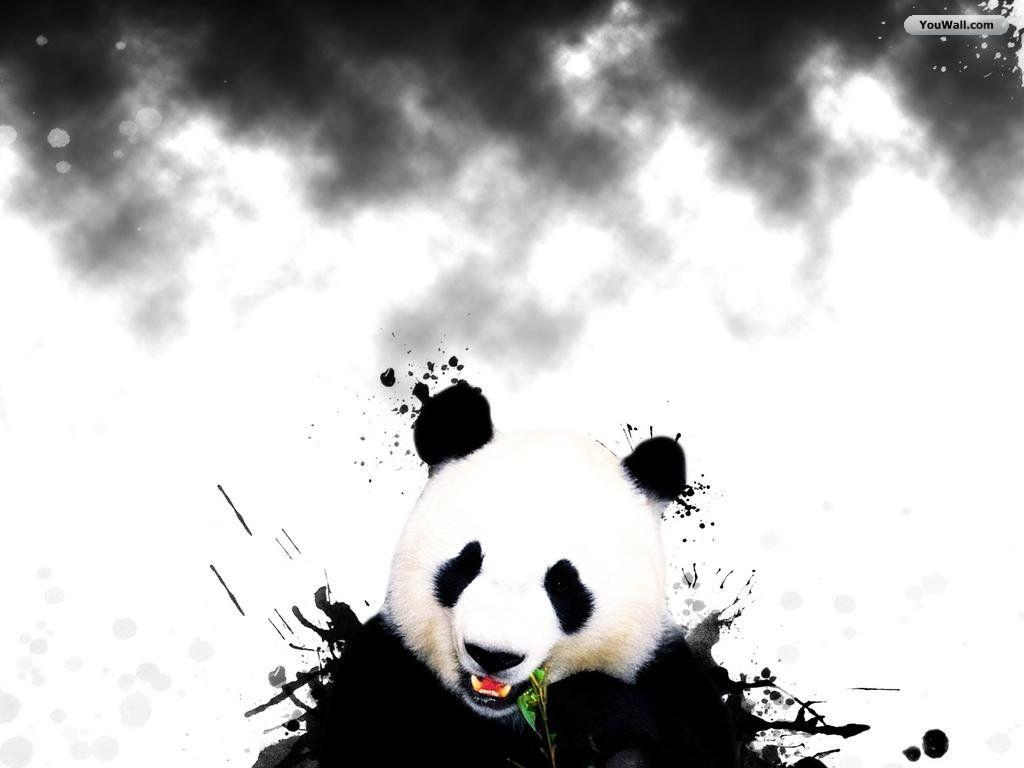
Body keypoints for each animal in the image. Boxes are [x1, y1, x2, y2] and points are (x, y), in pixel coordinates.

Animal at [318, 381, 738, 768]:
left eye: (562, 583)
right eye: (466, 563)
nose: (492, 655)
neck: (499, 714)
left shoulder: (666, 676)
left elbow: (686, 744)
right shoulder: (387, 671)